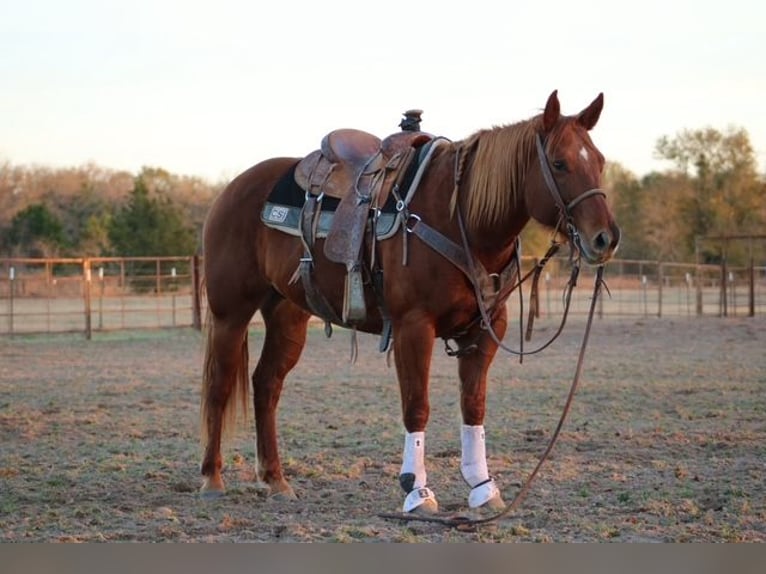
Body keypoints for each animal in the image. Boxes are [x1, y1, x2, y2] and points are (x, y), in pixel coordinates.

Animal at [199, 90, 621, 514]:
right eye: (559, 163)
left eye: (600, 161)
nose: (605, 238)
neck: (461, 219)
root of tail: (232, 189)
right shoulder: (413, 327)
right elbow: (417, 406)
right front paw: (417, 492)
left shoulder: (486, 330)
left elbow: (474, 405)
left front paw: (483, 487)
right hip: (230, 313)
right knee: (220, 385)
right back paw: (212, 478)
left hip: (287, 316)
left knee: (266, 385)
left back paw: (275, 479)